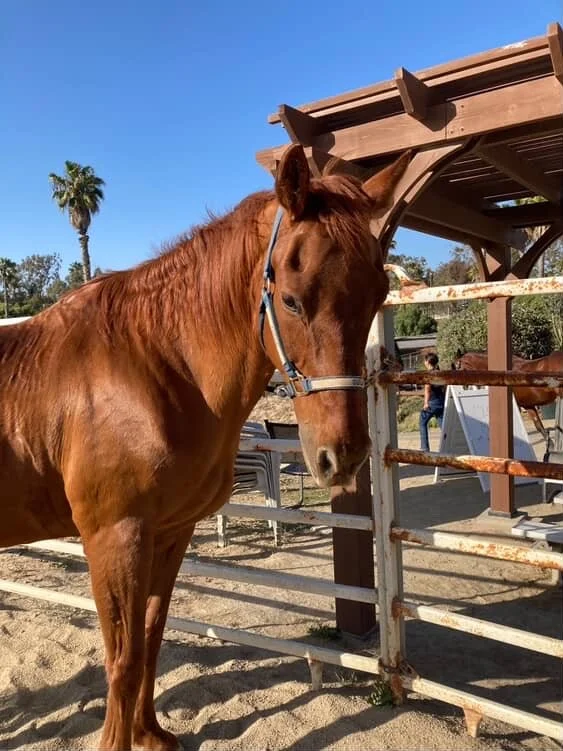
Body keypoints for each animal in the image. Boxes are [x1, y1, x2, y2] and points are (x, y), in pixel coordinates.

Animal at [0, 143, 410, 751]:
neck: (153, 364)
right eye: (292, 301)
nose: (343, 455)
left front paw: (150, 735)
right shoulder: (114, 537)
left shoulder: (169, 532)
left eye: (377, 296)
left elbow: (151, 637)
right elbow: (122, 660)